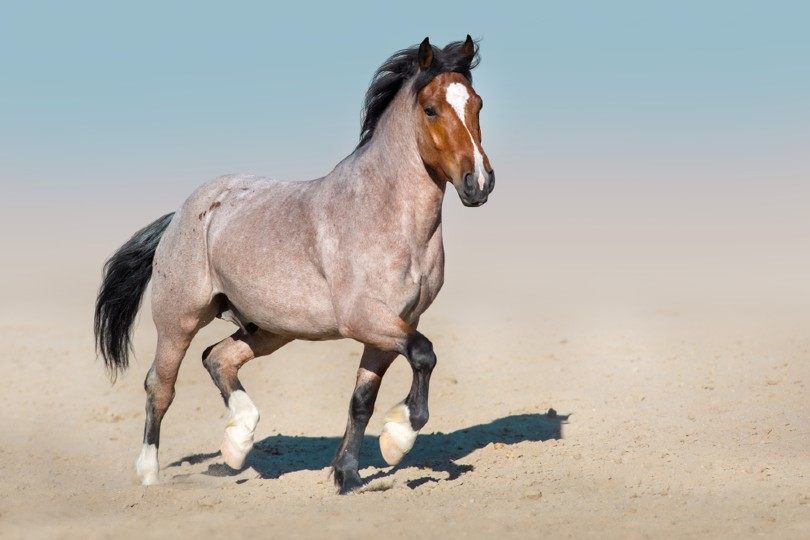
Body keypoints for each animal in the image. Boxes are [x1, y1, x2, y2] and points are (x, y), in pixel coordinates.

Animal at [94, 35, 494, 494]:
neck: (386, 214)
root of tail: (180, 215)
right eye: (430, 109)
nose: (479, 183)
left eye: (477, 104)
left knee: (217, 358)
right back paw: (150, 474)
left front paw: (348, 475)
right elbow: (424, 354)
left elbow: (362, 401)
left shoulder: (394, 325)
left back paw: (237, 443)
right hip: (179, 320)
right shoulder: (365, 319)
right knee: (160, 386)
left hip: (269, 328)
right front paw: (397, 439)